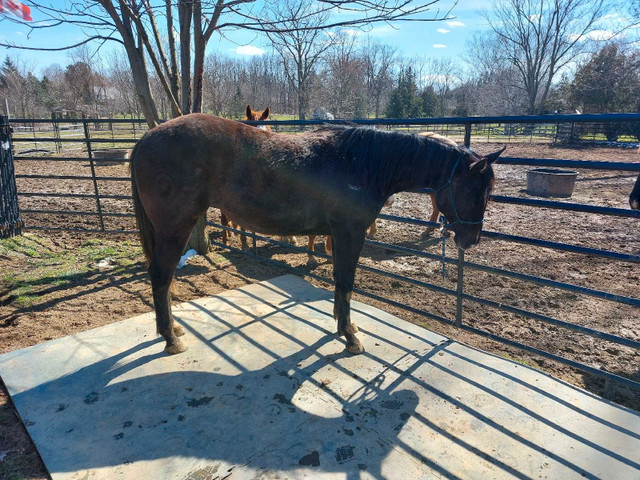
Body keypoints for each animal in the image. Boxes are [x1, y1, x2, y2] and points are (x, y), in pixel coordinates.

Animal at [131, 115, 504, 356]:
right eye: (474, 190)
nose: (470, 239)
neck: (362, 164)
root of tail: (144, 142)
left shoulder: (338, 235)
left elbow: (340, 283)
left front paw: (342, 325)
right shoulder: (350, 233)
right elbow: (345, 282)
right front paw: (350, 337)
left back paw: (174, 329)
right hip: (174, 227)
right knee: (160, 276)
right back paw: (171, 339)